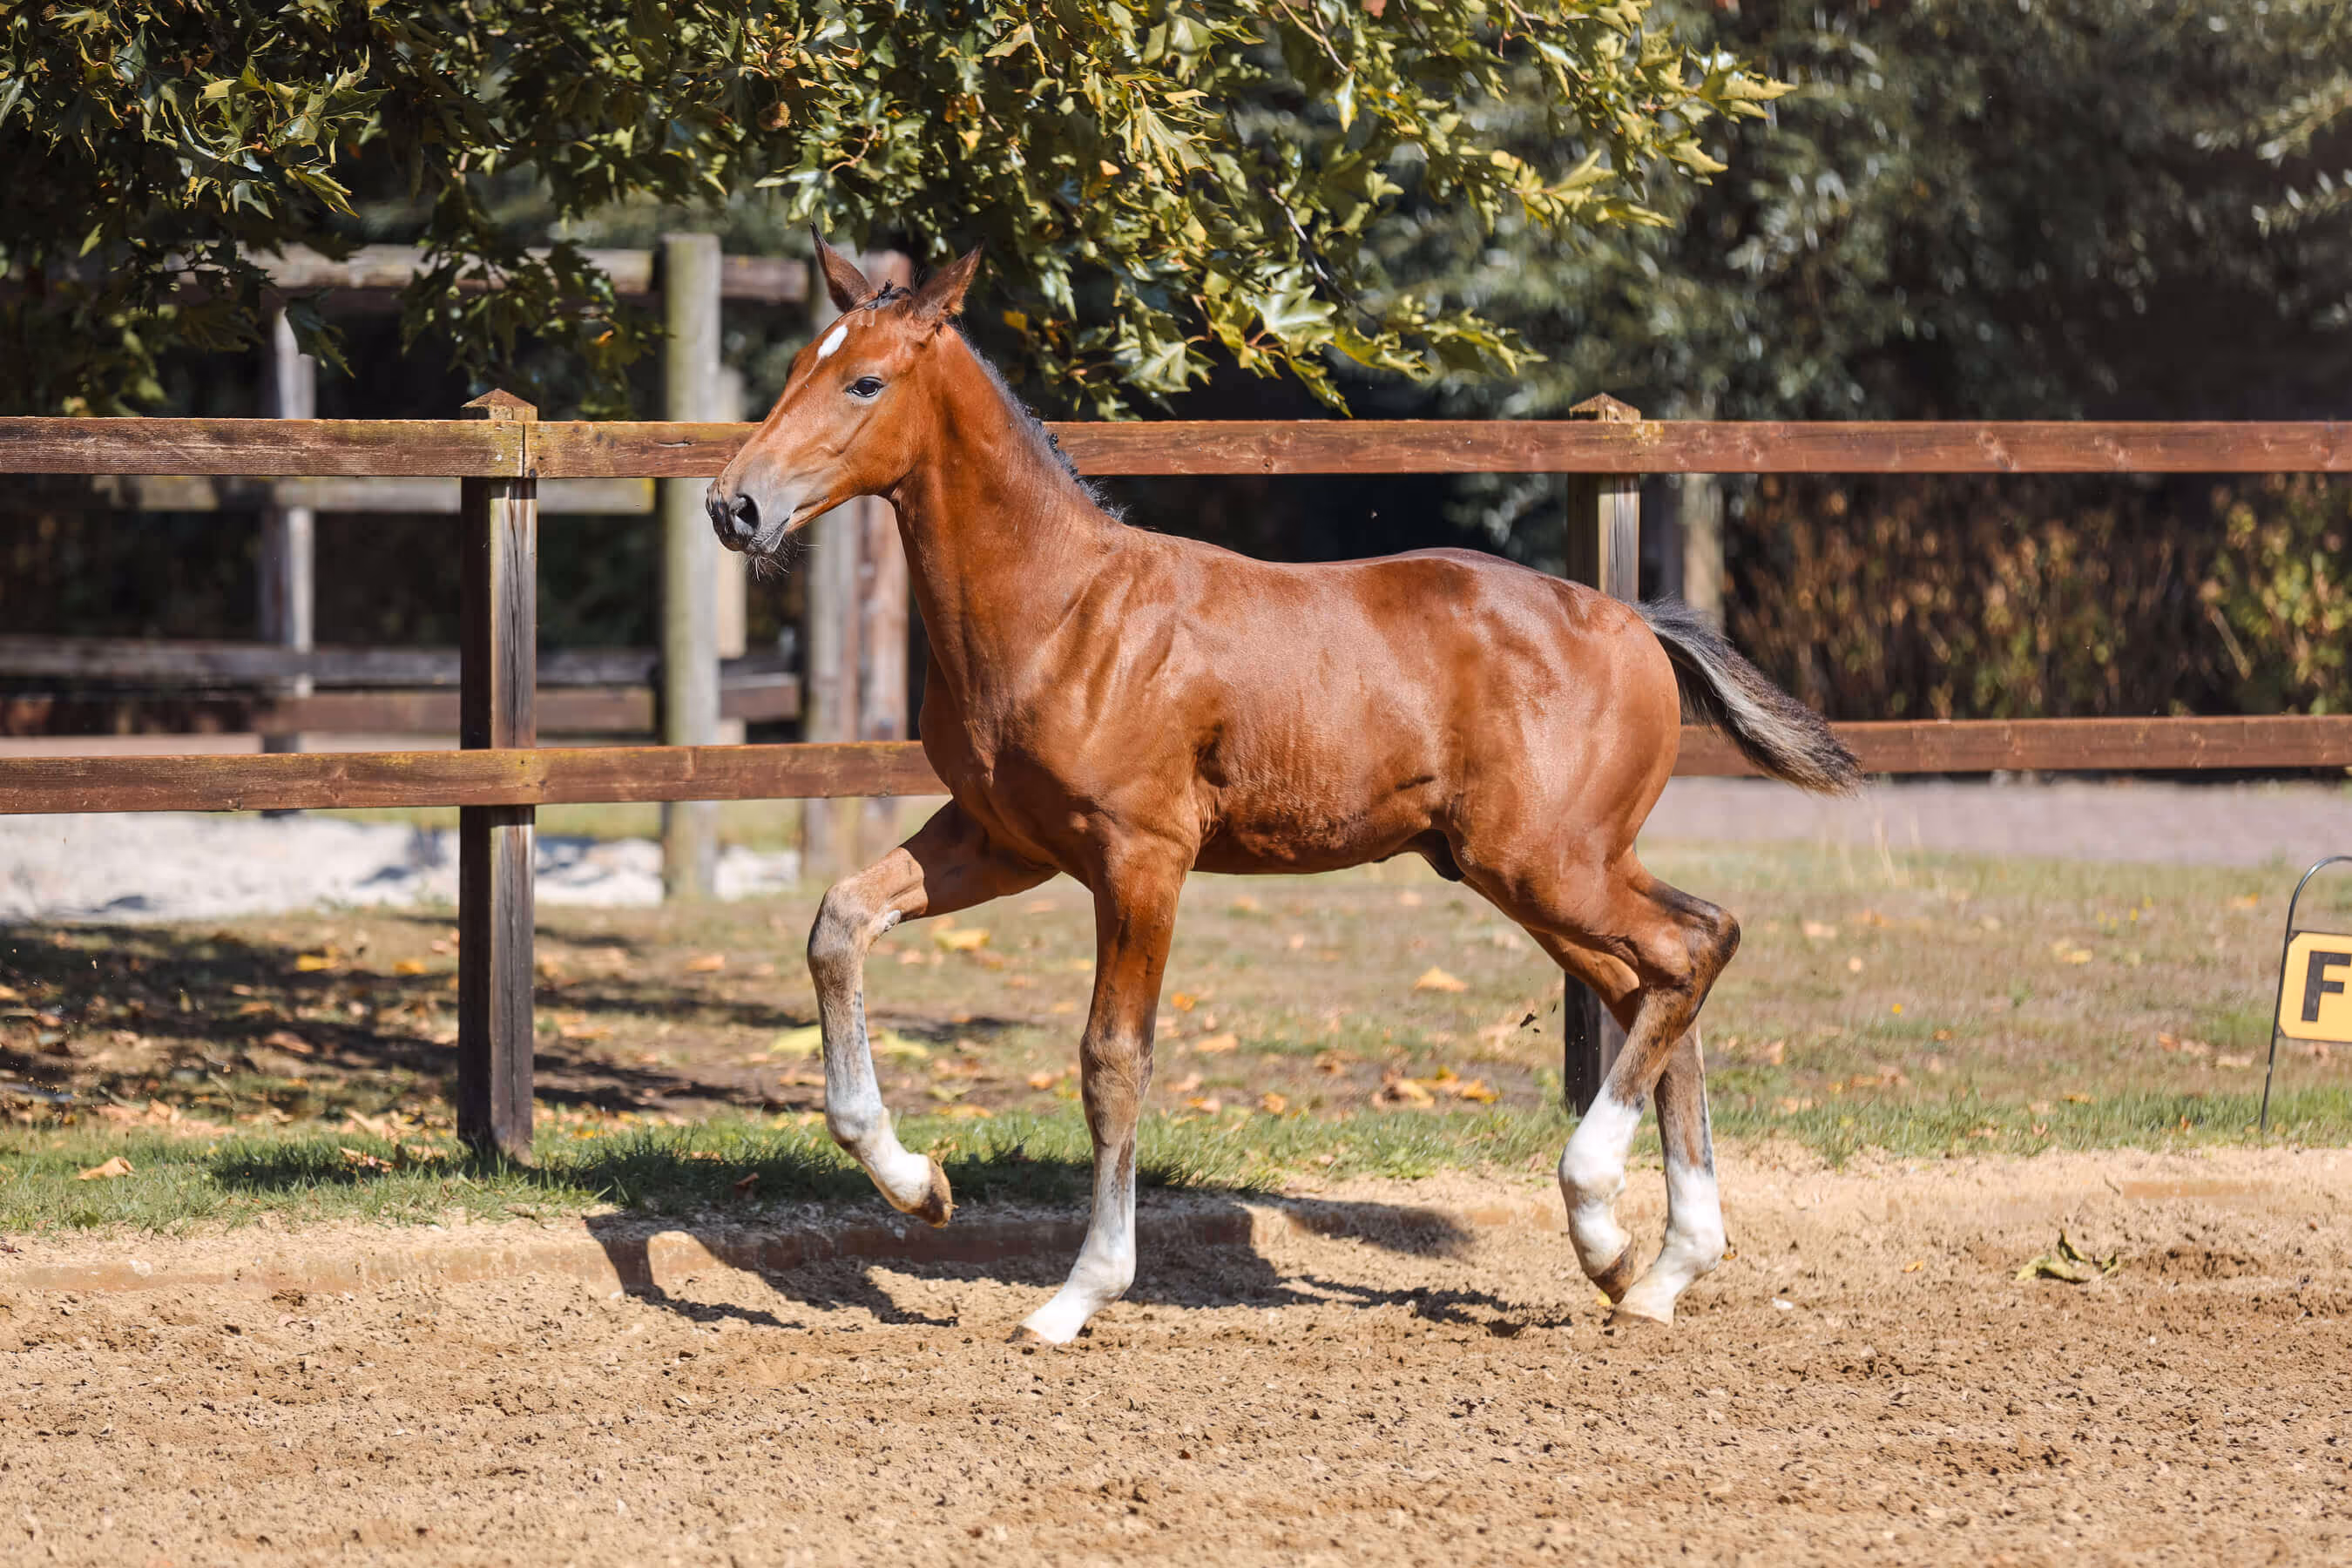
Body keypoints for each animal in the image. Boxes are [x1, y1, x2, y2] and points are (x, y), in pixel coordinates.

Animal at [707, 236, 1861, 1346]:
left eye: (864, 381)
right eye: (796, 366)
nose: (734, 505)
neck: (1062, 610)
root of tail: (1636, 623)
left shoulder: (1142, 859)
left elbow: (1112, 1061)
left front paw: (1075, 1297)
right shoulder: (1002, 842)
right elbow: (839, 922)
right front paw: (920, 1185)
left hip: (1547, 866)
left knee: (1694, 944)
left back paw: (1608, 1215)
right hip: (1530, 874)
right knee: (1653, 983)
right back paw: (1646, 1265)